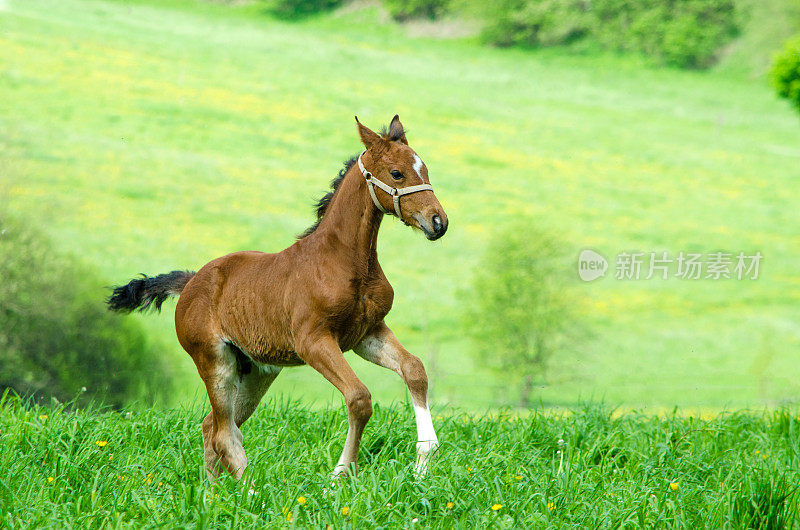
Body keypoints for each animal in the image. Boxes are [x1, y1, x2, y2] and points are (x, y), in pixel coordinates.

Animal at [107, 115, 446, 478]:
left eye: (425, 169)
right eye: (397, 173)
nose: (438, 222)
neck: (345, 259)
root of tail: (190, 281)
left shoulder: (367, 333)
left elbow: (414, 369)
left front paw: (423, 460)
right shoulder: (313, 340)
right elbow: (359, 398)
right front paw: (339, 475)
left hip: (256, 371)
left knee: (212, 427)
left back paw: (212, 491)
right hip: (215, 361)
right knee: (225, 434)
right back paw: (247, 489)